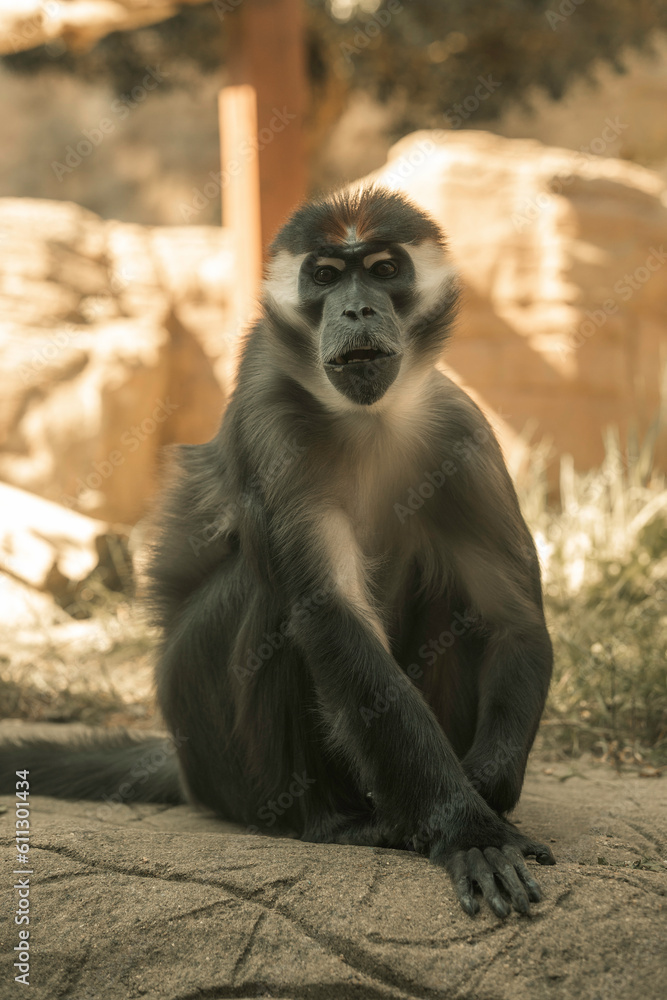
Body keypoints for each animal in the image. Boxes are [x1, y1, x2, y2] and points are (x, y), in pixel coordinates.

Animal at [0, 186, 556, 916]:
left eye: (383, 270)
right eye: (325, 276)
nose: (356, 309)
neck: (367, 422)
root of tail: (186, 768)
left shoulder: (462, 434)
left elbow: (511, 619)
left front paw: (482, 797)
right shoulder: (271, 419)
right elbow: (332, 619)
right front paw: (466, 828)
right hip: (210, 738)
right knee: (273, 605)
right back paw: (328, 821)